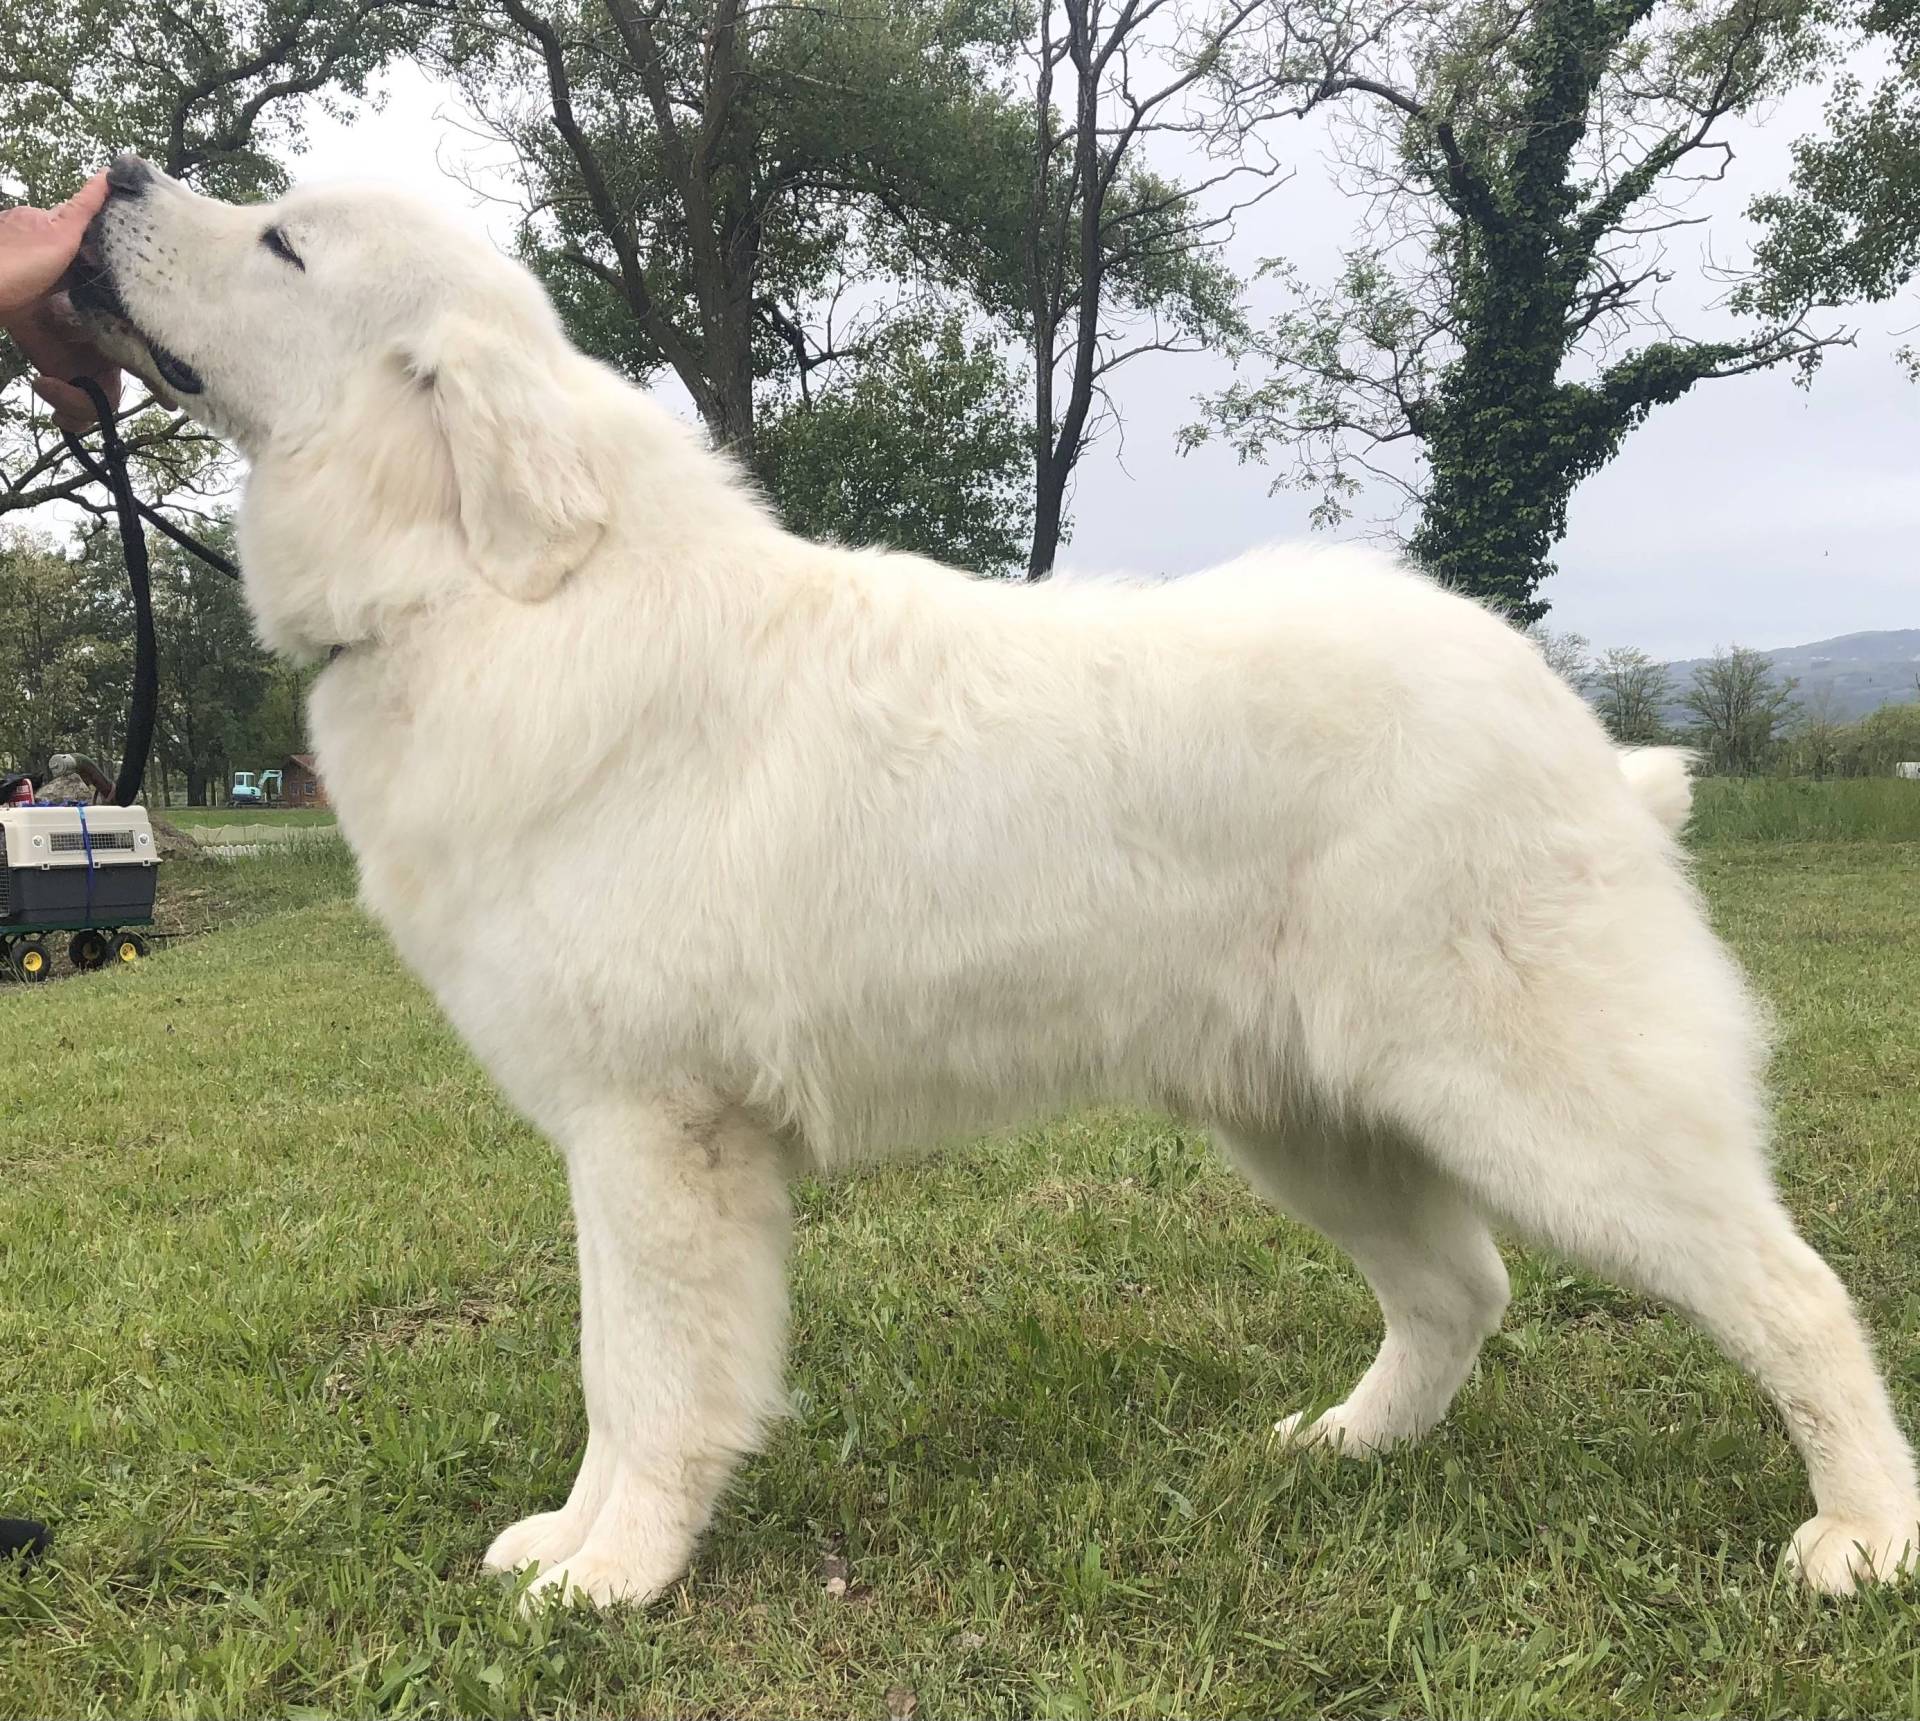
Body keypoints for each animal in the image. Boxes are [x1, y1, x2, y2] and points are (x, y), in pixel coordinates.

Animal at [78, 154, 1920, 1605]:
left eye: (281, 241)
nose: (110, 183)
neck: (476, 586)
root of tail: (1578, 730)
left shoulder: (655, 1131)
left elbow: (646, 1379)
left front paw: (618, 1575)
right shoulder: (631, 1139)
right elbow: (623, 1372)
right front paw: (577, 1544)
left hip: (1546, 1103)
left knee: (1794, 1292)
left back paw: (1864, 1540)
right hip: (1310, 1115)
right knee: (1461, 1291)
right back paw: (1348, 1446)